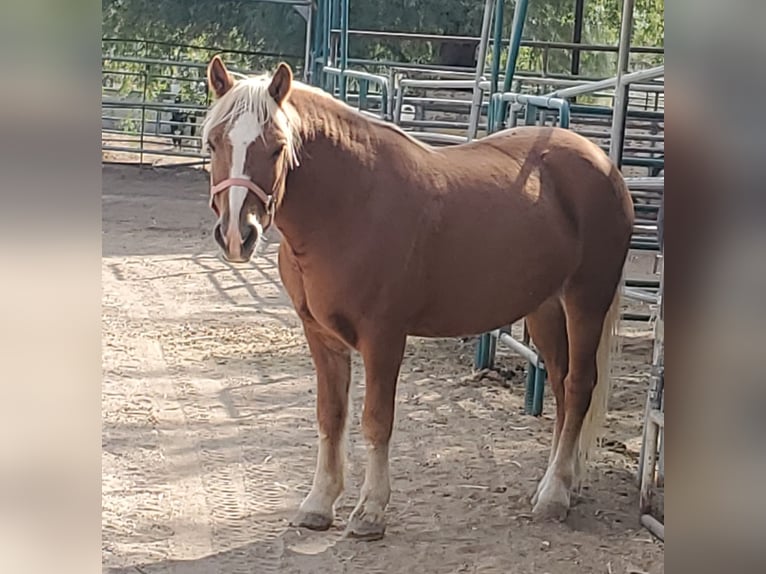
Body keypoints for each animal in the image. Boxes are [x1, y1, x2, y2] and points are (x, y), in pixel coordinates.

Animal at [200, 56, 636, 544]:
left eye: (276, 147)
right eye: (214, 142)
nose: (237, 235)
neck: (351, 206)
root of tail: (602, 162)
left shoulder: (383, 337)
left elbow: (376, 419)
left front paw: (370, 513)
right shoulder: (320, 335)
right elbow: (330, 416)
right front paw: (318, 505)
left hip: (586, 300)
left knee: (579, 385)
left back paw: (555, 496)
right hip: (544, 308)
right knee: (560, 384)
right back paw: (559, 483)